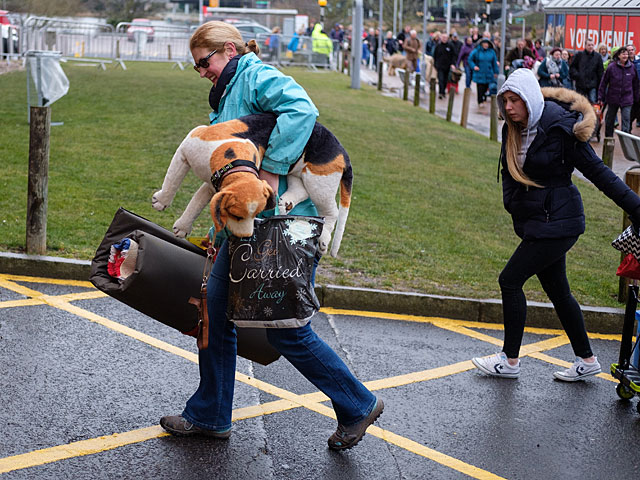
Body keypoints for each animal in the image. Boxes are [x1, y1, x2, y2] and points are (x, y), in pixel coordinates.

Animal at [152, 113, 352, 256]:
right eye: (236, 216)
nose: (246, 237)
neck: (236, 164)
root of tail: (342, 152)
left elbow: (178, 185)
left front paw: (163, 204)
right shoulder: (187, 154)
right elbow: (177, 184)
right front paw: (177, 219)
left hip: (319, 182)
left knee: (331, 212)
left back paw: (323, 239)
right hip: (299, 173)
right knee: (299, 189)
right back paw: (285, 203)